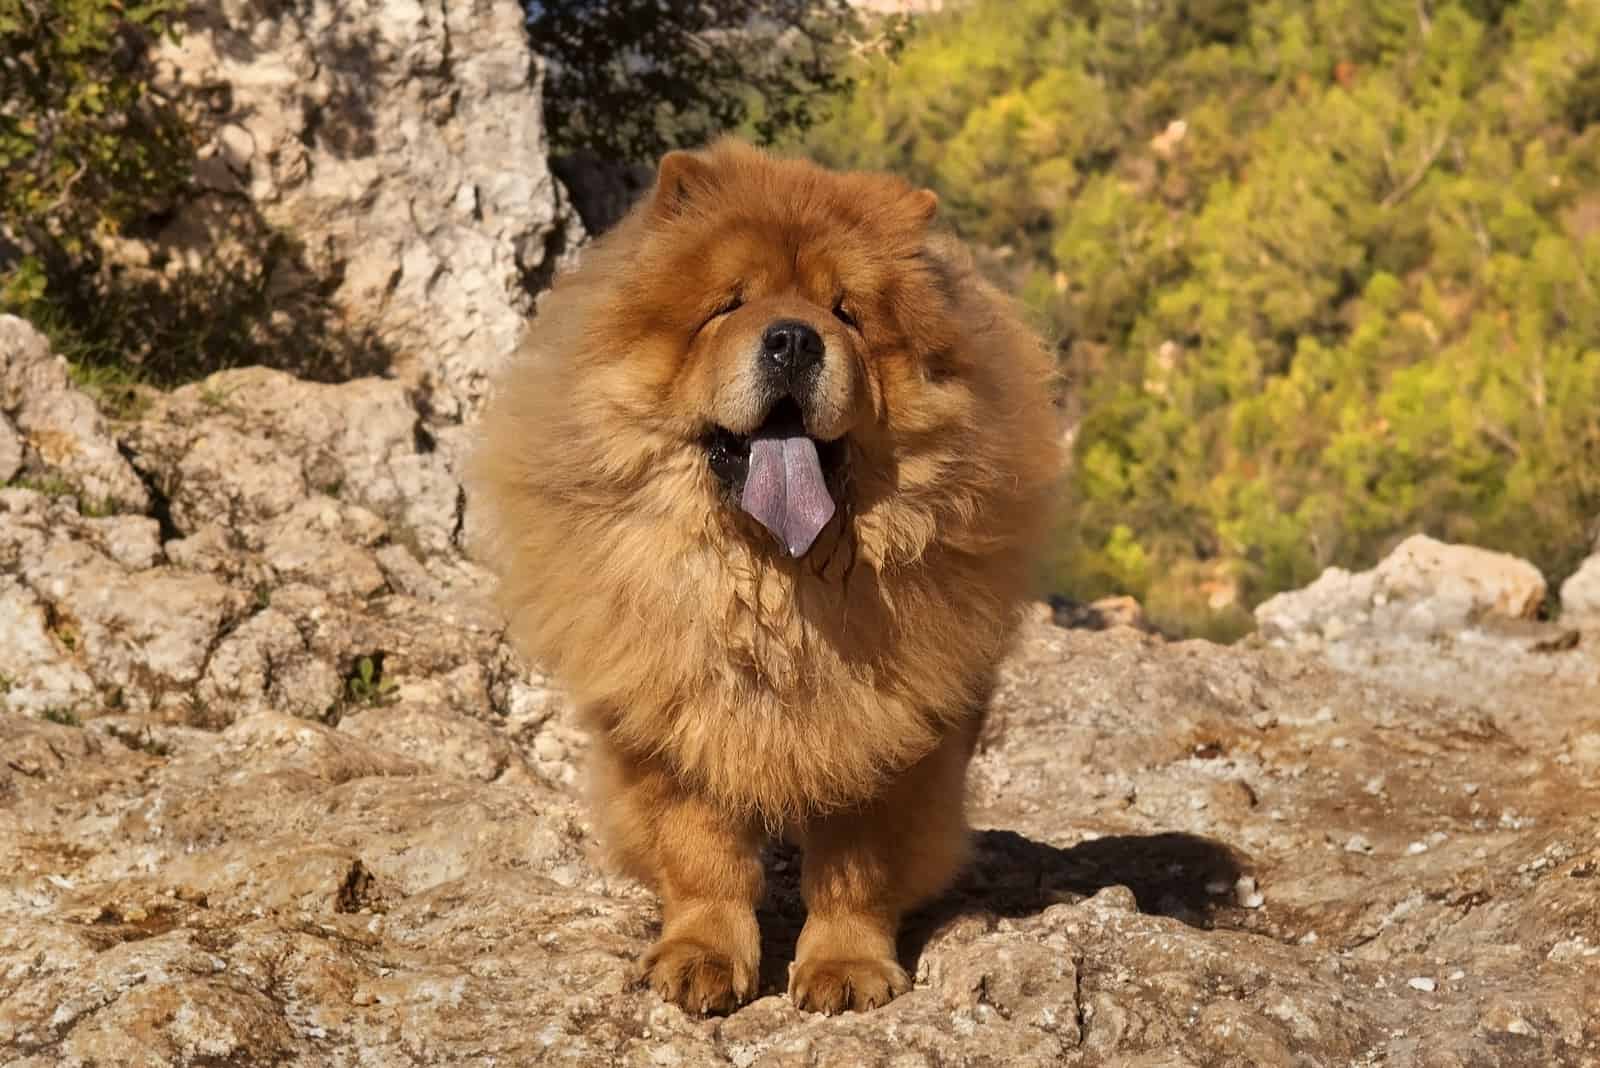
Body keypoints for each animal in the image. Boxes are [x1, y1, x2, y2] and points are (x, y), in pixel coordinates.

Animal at [467, 141, 1062, 1016]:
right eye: (730, 305)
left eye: (847, 313)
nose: (792, 340)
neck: (774, 585)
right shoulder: (670, 717)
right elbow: (702, 855)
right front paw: (700, 958)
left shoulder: (887, 735)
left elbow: (857, 867)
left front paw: (845, 968)